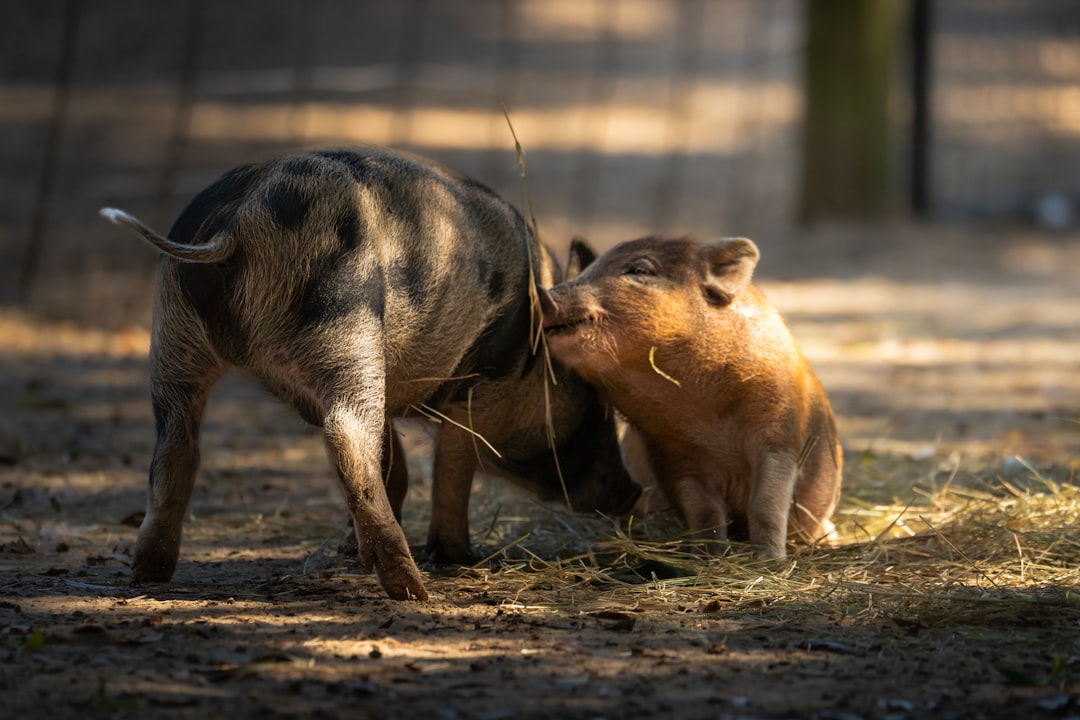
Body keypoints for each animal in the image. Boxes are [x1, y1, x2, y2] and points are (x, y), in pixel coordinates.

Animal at [99, 146, 640, 601]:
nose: (632, 491)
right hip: (348, 321)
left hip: (174, 336)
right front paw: (459, 558)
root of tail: (241, 219)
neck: (524, 348)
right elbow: (449, 468)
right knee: (347, 438)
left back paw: (147, 574)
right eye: (592, 396)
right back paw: (413, 589)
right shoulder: (473, 390)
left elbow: (395, 459)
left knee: (175, 447)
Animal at [540, 235, 841, 558]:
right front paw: (712, 555)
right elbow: (705, 514)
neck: (712, 422)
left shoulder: (781, 434)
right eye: (587, 271)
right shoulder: (672, 456)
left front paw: (769, 560)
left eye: (639, 269)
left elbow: (766, 504)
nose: (544, 294)